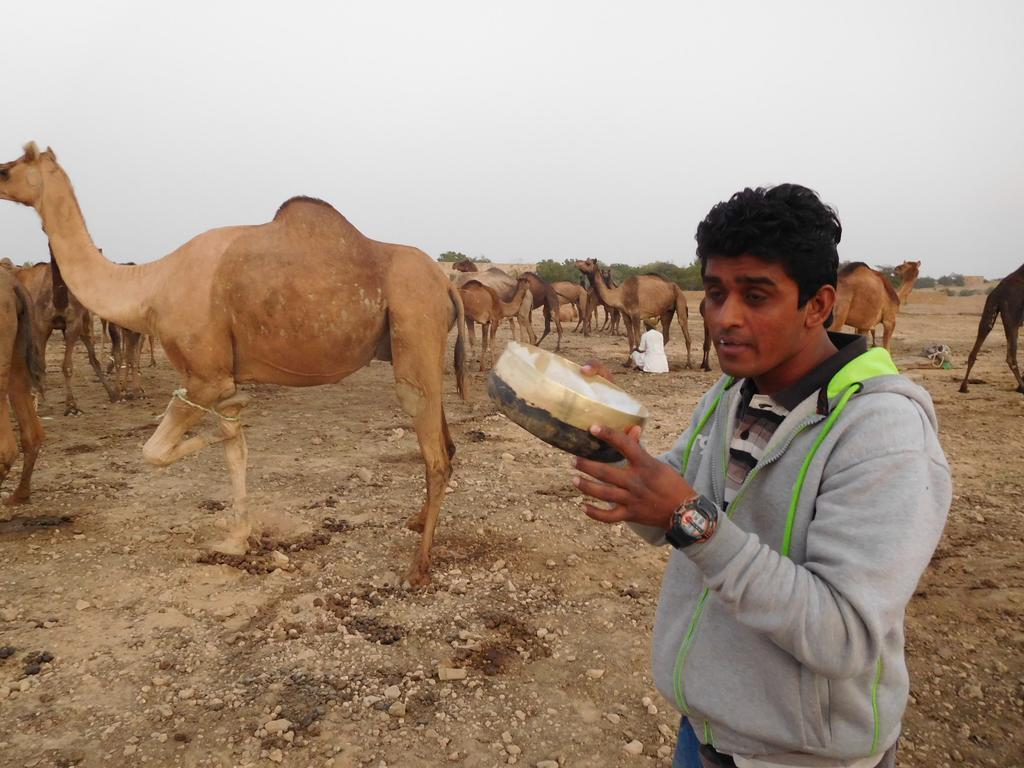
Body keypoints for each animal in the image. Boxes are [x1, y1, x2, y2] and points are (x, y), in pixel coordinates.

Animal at [13, 257, 117, 415]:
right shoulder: (42, 326)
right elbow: (40, 365)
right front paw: (39, 401)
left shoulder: (73, 324)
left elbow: (67, 366)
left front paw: (71, 405)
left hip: (83, 324)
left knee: (92, 357)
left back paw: (112, 394)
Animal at [958, 266, 1024, 397]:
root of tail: (998, 292)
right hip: (1012, 316)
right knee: (1011, 356)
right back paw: (1022, 387)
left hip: (990, 306)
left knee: (977, 345)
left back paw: (964, 387)